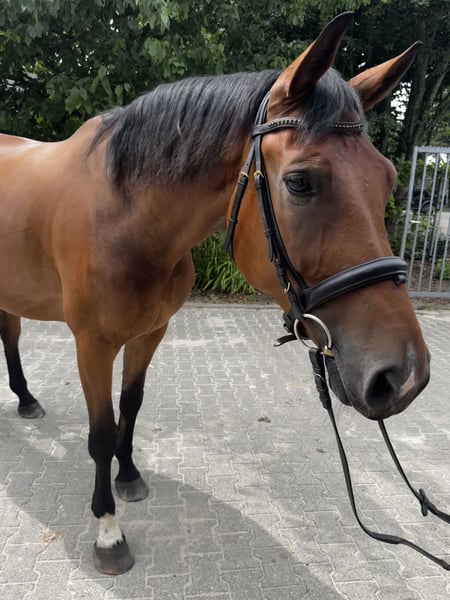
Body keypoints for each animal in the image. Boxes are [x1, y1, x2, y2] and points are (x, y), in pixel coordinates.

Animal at [0, 13, 430, 574]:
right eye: (299, 182)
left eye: (389, 178)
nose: (404, 376)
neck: (123, 217)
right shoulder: (91, 344)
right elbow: (100, 434)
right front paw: (109, 532)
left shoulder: (150, 333)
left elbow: (131, 405)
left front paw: (129, 476)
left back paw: (27, 400)